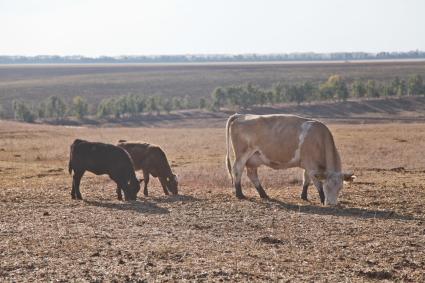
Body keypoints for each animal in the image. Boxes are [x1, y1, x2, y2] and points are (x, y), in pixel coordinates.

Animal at [225, 113, 354, 206]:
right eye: (327, 186)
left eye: (340, 187)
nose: (332, 204)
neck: (319, 139)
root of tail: (241, 115)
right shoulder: (312, 167)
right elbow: (317, 184)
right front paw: (322, 199)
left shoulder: (307, 166)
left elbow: (306, 180)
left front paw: (303, 196)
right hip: (242, 154)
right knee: (237, 170)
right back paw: (240, 194)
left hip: (254, 158)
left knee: (252, 174)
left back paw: (264, 194)